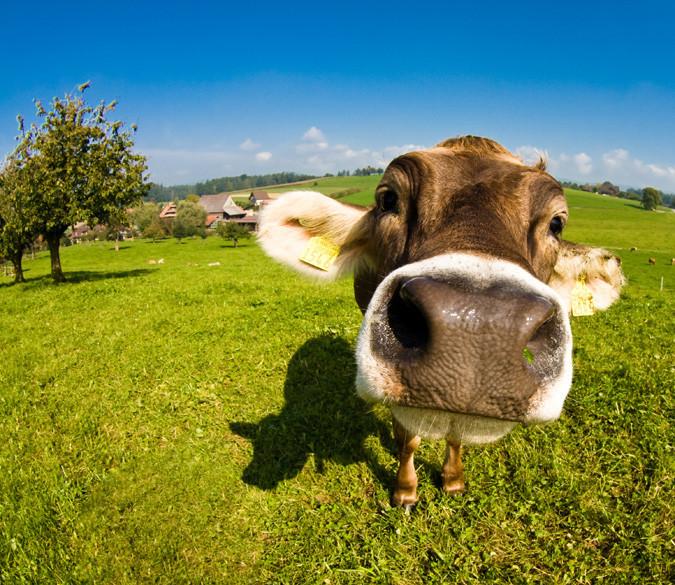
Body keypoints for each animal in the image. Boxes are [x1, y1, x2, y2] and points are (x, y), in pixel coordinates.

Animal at [258, 136, 624, 508]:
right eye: (388, 198)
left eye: (556, 223)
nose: (479, 325)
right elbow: (407, 438)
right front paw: (405, 490)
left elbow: (455, 434)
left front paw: (453, 479)